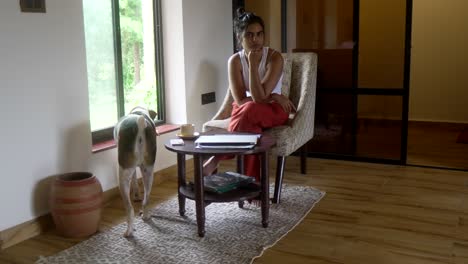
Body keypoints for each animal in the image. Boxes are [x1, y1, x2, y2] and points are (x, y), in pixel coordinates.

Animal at [114, 107, 158, 237]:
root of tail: (140, 123)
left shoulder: (131, 170)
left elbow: (134, 180)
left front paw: (136, 195)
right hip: (148, 170)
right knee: (146, 200)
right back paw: (146, 216)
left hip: (123, 173)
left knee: (130, 209)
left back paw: (128, 231)